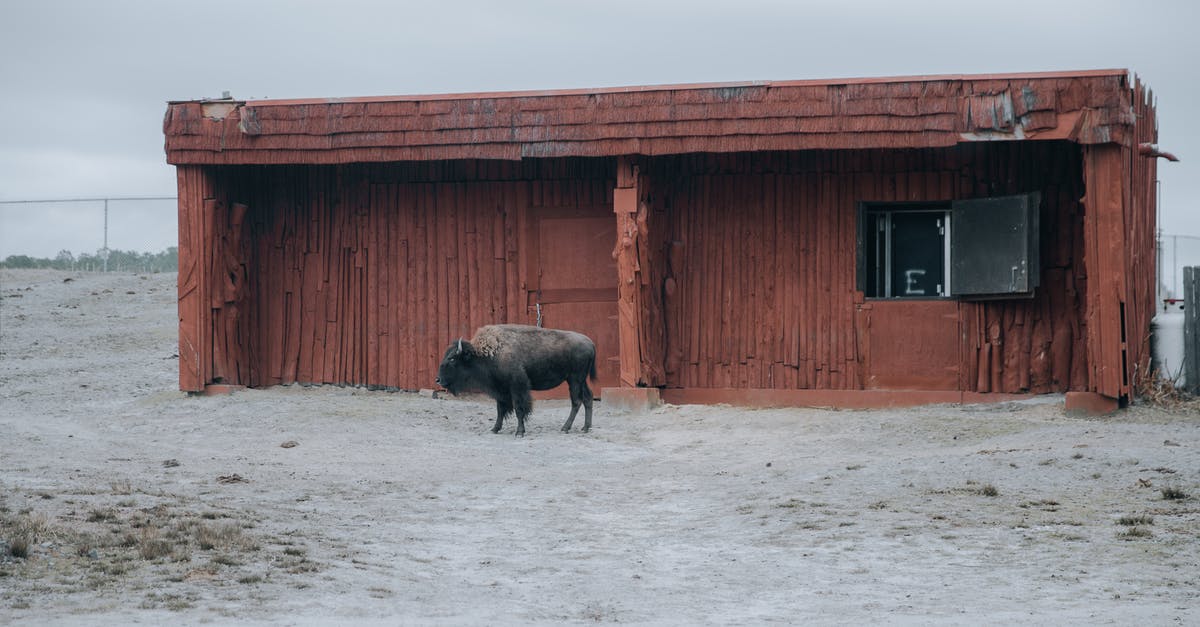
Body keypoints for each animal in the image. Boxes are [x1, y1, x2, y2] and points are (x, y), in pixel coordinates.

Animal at [436, 321, 595, 434]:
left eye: (452, 359)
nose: (437, 380)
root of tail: (590, 343)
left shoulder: (517, 386)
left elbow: (519, 408)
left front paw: (519, 432)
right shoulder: (500, 389)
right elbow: (500, 409)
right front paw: (495, 429)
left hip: (574, 379)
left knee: (576, 401)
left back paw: (565, 428)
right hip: (580, 381)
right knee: (588, 398)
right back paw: (585, 428)